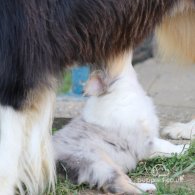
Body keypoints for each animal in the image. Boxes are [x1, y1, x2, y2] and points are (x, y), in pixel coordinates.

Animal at [52, 52, 188, 194]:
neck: (122, 89)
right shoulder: (142, 141)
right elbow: (163, 144)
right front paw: (184, 148)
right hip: (98, 162)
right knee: (115, 185)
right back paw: (146, 188)